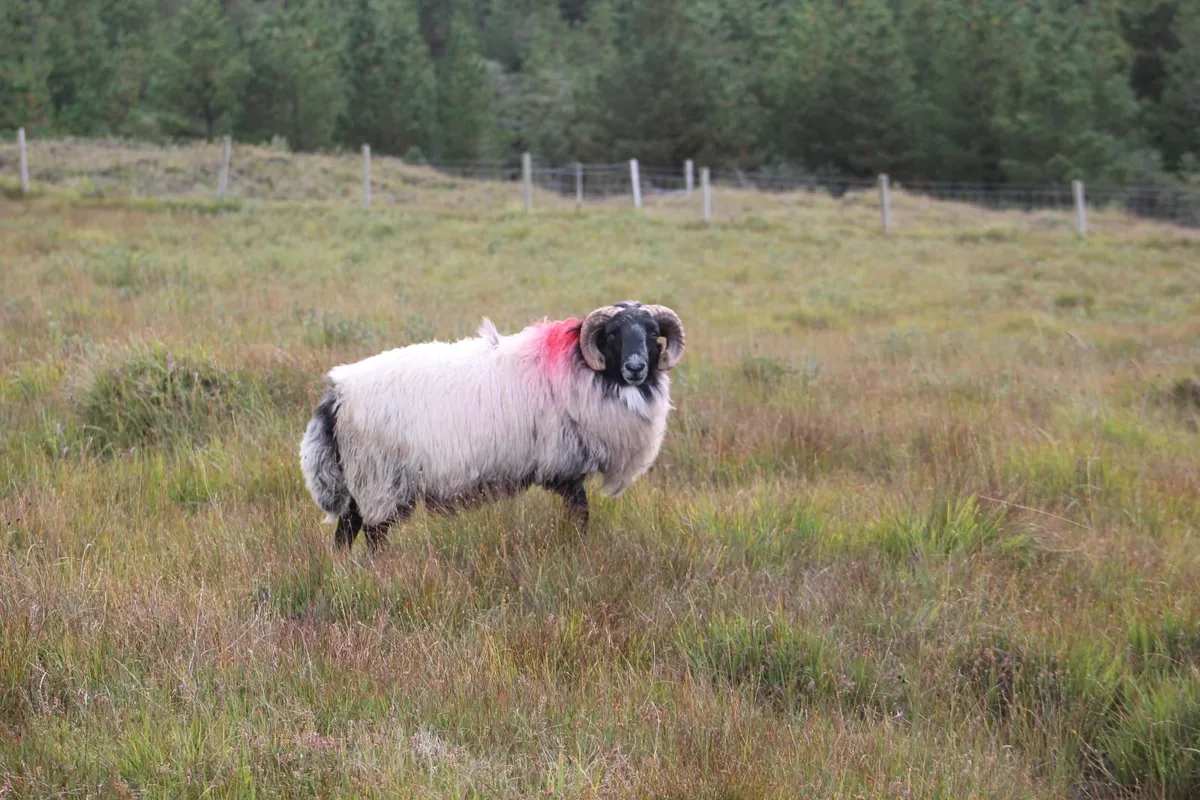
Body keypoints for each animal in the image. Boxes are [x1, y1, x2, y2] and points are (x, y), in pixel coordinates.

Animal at [299, 301, 687, 551]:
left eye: (652, 332)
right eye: (613, 334)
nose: (636, 367)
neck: (578, 370)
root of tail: (338, 392)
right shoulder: (562, 468)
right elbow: (580, 513)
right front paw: (576, 547)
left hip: (361, 479)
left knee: (346, 529)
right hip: (380, 478)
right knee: (373, 533)